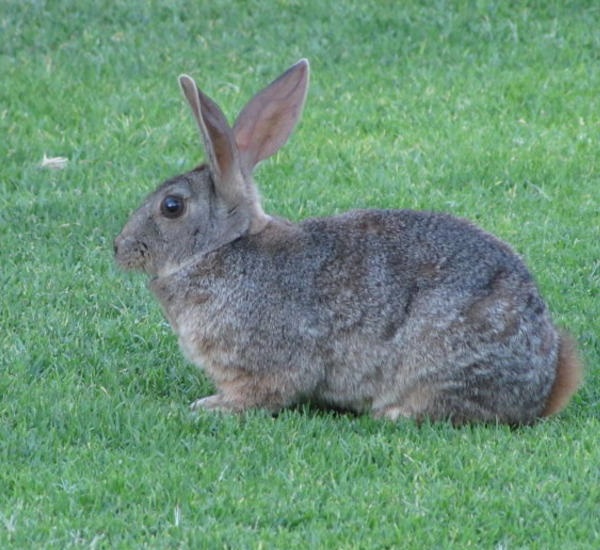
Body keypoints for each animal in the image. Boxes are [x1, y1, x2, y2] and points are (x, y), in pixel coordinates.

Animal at [113, 59, 580, 426]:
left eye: (171, 206)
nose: (119, 249)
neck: (223, 247)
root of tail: (543, 385)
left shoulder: (264, 362)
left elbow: (264, 394)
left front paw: (210, 406)